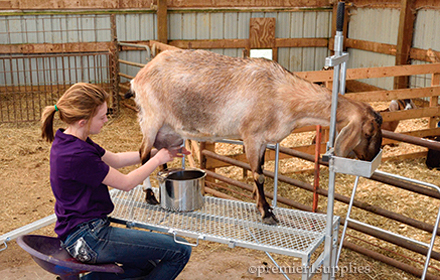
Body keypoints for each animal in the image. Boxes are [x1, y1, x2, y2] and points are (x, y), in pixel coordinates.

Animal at [128, 48, 382, 225]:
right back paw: (150, 195)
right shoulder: (251, 136)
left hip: (168, 130)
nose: (370, 159)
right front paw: (267, 212)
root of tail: (138, 76)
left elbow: (261, 171)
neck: (282, 94)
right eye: (368, 132)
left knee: (158, 155)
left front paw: (262, 206)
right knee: (143, 153)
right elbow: (258, 176)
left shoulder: (263, 141)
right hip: (151, 119)